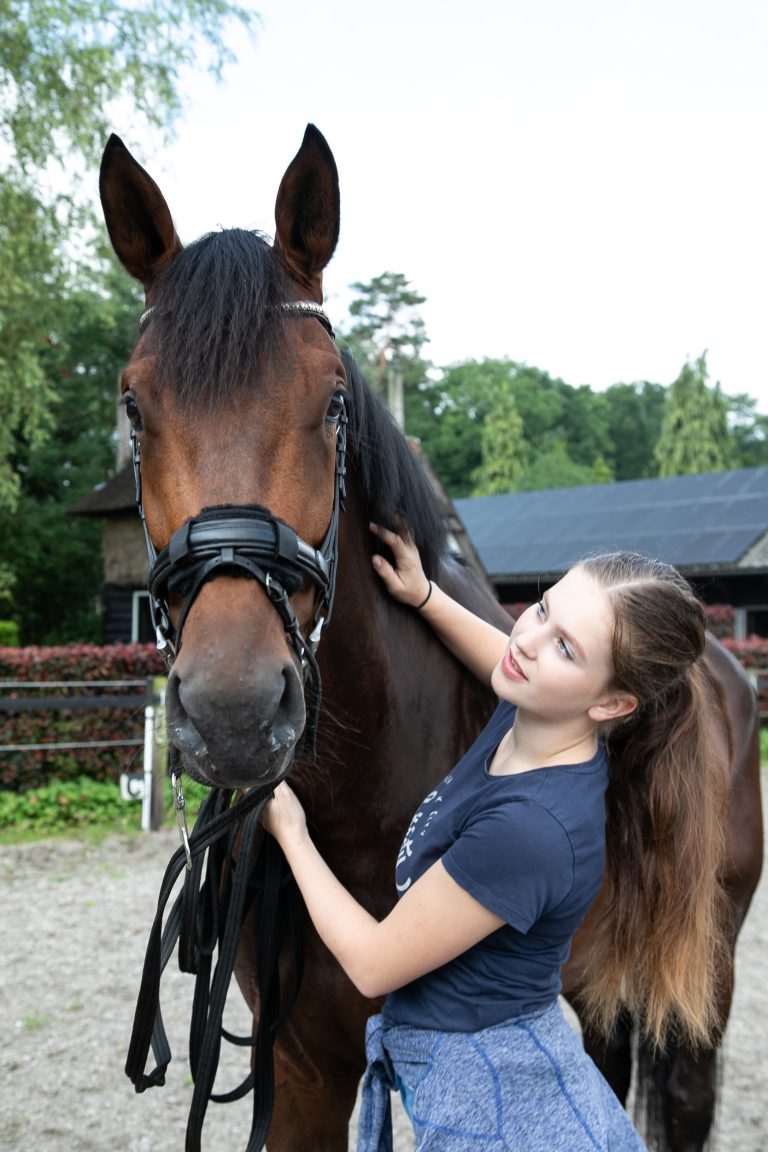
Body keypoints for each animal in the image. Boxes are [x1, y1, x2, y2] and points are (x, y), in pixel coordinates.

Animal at [99, 125, 763, 1152]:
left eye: (334, 401)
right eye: (136, 407)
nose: (235, 712)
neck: (361, 798)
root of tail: (719, 668)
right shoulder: (302, 1069)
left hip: (702, 985)